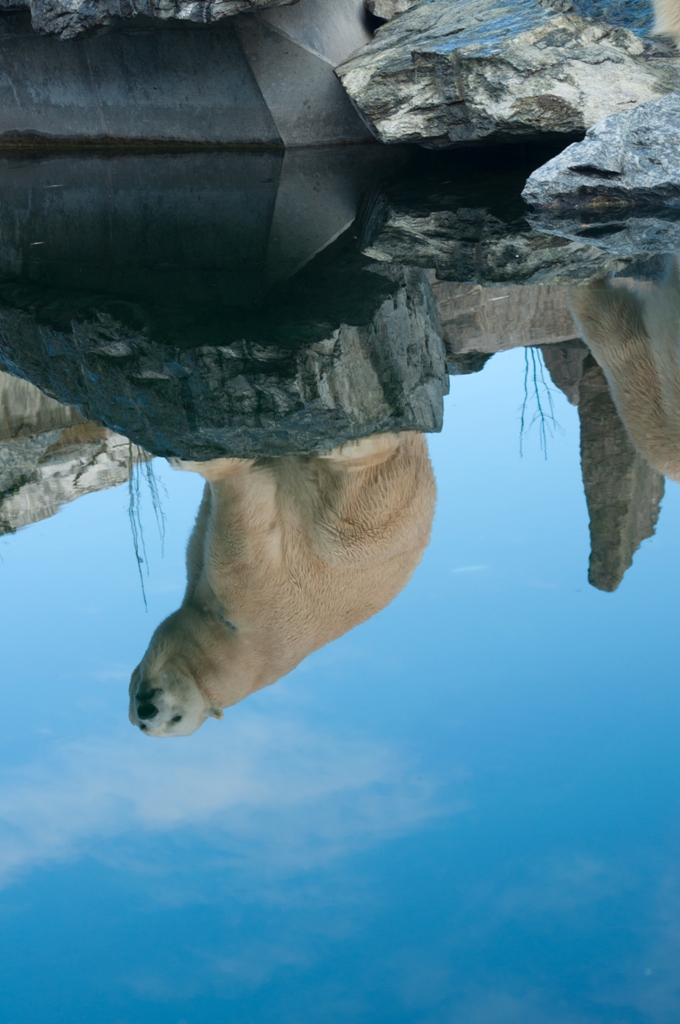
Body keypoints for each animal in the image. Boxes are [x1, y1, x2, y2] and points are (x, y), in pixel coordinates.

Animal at [128, 430, 436, 737]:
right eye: (142, 725)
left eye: (177, 718)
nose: (147, 710)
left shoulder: (254, 615)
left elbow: (246, 524)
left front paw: (200, 462)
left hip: (378, 519)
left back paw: (347, 447)